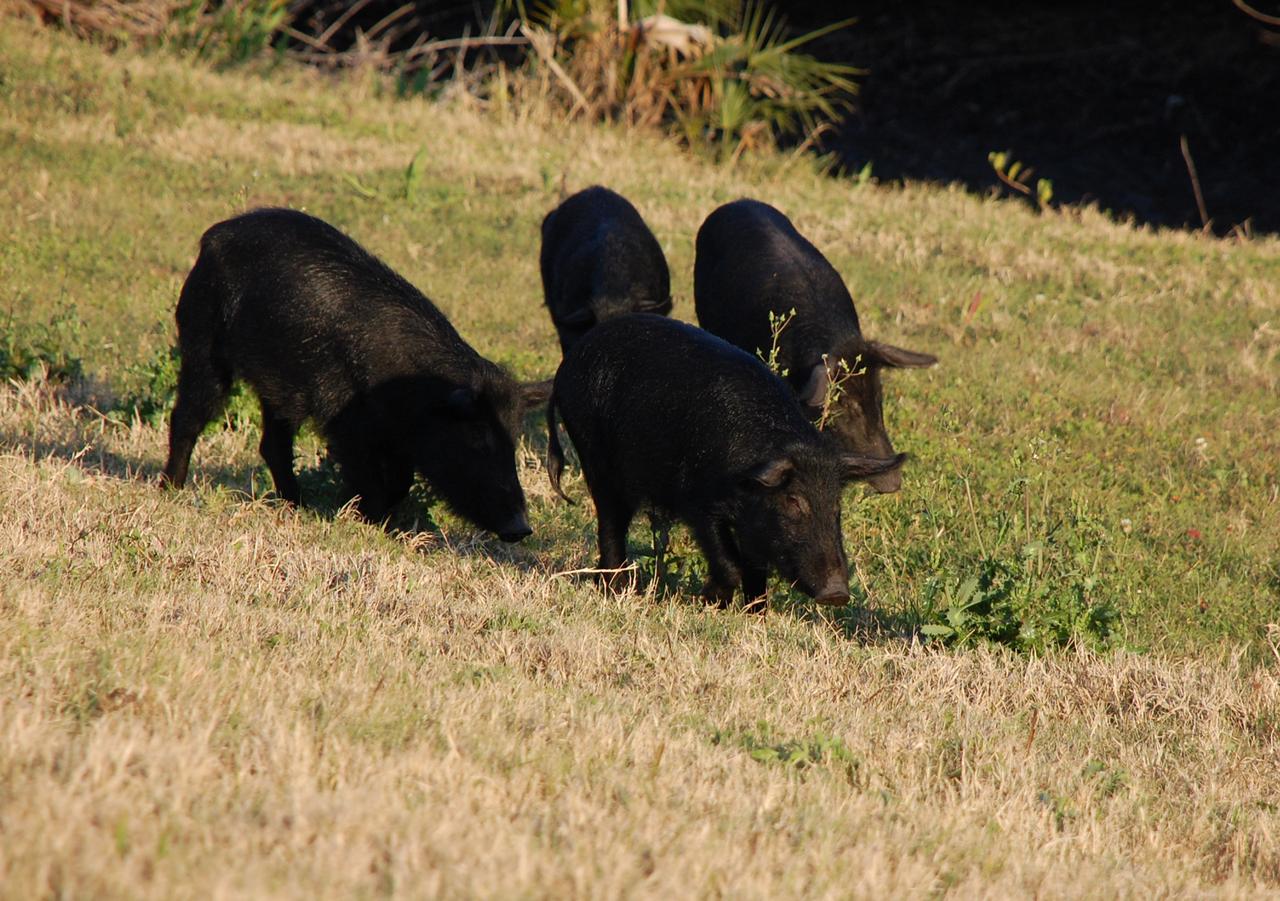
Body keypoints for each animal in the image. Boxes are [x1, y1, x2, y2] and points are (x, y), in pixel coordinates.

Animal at [160, 207, 550, 541]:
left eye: (514, 439)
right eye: (476, 436)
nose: (521, 528)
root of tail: (214, 235)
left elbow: (402, 481)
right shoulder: (344, 421)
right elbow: (370, 475)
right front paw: (371, 521)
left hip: (277, 386)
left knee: (272, 444)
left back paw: (298, 505)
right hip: (202, 340)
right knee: (188, 416)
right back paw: (171, 489)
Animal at [546, 314, 904, 607]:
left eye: (836, 506)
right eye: (793, 501)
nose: (837, 593)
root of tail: (567, 365)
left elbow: (755, 568)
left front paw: (755, 612)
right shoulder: (697, 501)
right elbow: (730, 561)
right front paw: (707, 602)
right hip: (594, 455)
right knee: (610, 524)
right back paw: (617, 588)